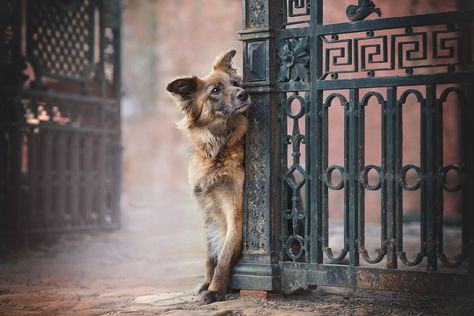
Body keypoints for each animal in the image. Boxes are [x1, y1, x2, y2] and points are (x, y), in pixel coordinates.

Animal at [166, 50, 250, 304]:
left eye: (236, 84)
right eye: (215, 90)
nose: (244, 94)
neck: (218, 152)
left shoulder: (235, 212)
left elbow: (223, 257)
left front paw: (216, 289)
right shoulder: (208, 212)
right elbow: (210, 254)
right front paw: (207, 283)